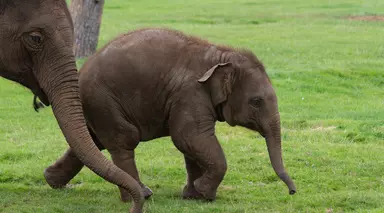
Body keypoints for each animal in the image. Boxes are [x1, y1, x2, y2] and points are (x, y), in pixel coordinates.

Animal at [44, 27, 296, 202]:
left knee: (93, 141)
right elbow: (189, 137)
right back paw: (141, 195)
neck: (219, 56)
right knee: (123, 140)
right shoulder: (190, 94)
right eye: (256, 102)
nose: (292, 192)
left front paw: (194, 196)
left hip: (96, 106)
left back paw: (52, 180)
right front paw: (205, 193)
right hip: (103, 101)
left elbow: (191, 145)